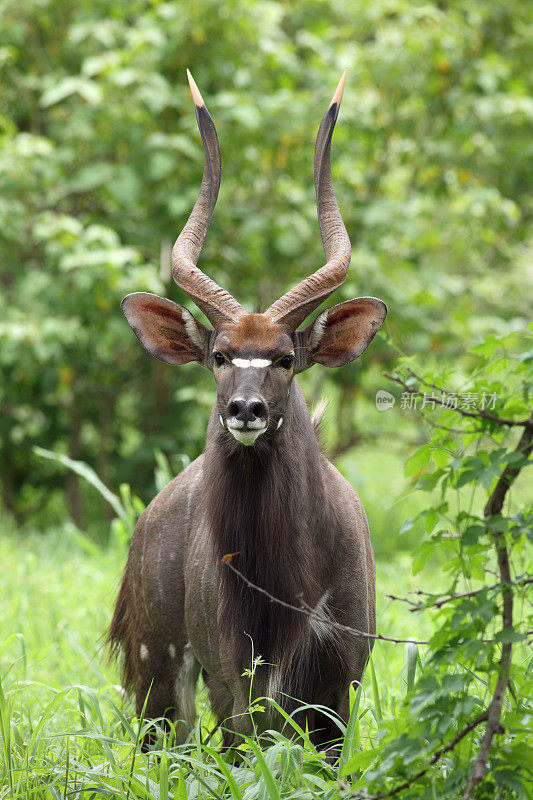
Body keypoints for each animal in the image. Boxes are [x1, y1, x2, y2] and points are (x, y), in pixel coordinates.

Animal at [111, 70, 386, 752]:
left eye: (285, 357)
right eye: (218, 354)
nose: (245, 408)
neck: (284, 589)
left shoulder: (340, 676)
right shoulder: (236, 675)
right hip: (161, 676)